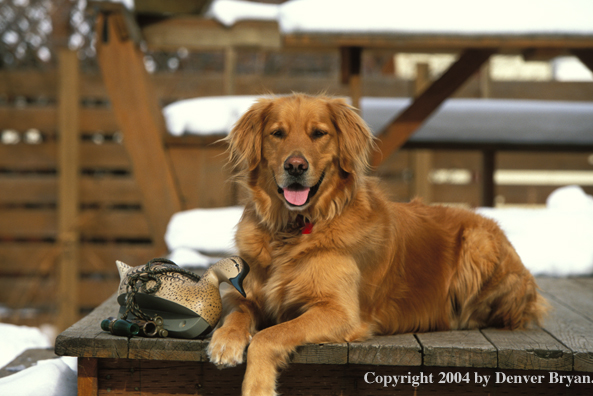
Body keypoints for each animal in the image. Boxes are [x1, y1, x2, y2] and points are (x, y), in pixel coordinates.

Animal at [207, 94, 544, 396]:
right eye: (277, 133)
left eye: (319, 133)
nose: (296, 166)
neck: (294, 229)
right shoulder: (247, 293)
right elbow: (237, 312)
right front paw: (225, 341)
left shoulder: (340, 312)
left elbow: (270, 335)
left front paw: (257, 386)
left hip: (478, 243)